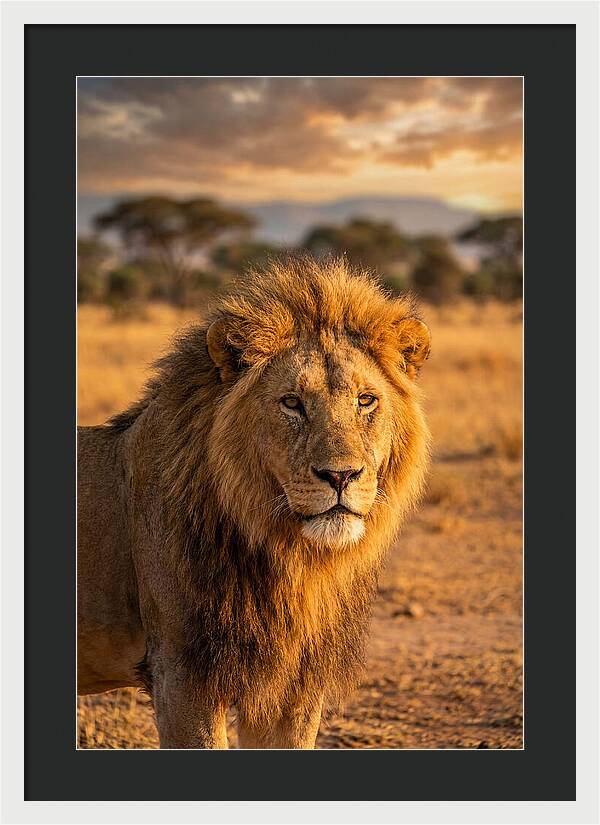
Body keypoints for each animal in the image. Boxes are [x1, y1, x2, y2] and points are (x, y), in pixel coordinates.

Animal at [77, 256, 431, 749]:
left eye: (366, 400)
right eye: (292, 403)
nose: (340, 476)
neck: (291, 559)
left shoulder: (293, 685)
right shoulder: (182, 675)